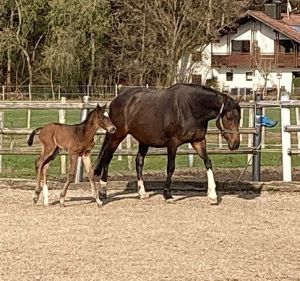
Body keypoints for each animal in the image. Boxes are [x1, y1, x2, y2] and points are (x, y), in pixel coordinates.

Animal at [95, 83, 240, 203]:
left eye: (239, 117)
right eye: (229, 117)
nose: (235, 144)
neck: (190, 108)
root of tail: (116, 99)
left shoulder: (198, 141)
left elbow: (208, 162)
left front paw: (213, 195)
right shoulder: (172, 143)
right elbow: (171, 167)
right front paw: (167, 195)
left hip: (143, 140)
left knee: (139, 162)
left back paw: (142, 193)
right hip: (117, 135)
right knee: (107, 158)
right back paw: (102, 191)